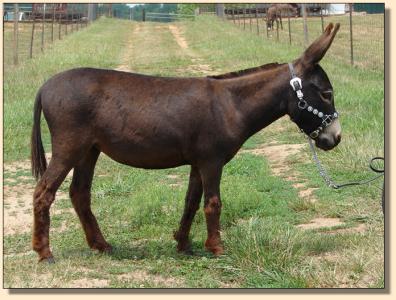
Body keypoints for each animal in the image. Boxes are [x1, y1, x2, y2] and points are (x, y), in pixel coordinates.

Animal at [30, 22, 340, 262]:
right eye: (326, 94)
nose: (335, 138)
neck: (231, 105)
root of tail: (45, 85)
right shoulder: (212, 161)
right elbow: (213, 202)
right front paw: (217, 248)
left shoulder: (197, 162)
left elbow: (191, 201)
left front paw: (183, 244)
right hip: (70, 146)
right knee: (43, 192)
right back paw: (45, 253)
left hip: (89, 150)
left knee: (79, 193)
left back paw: (101, 245)